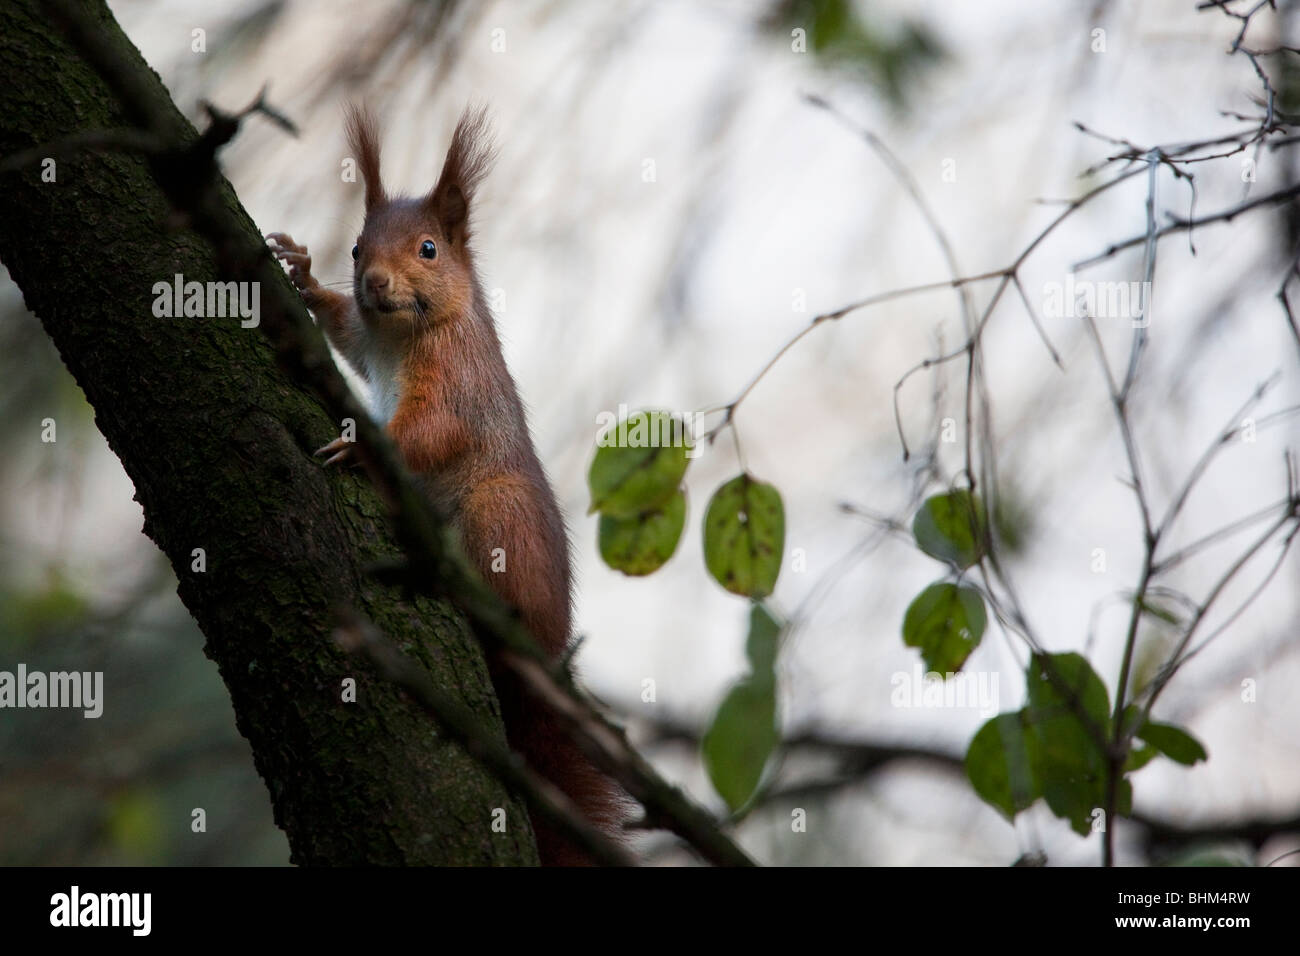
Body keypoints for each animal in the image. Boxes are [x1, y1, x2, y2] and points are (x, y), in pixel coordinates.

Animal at [266, 106, 621, 868]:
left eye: (429, 249)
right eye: (356, 250)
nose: (376, 283)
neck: (404, 334)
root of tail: (549, 652)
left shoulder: (458, 383)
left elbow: (432, 433)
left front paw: (361, 444)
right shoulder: (369, 341)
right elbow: (344, 331)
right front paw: (303, 276)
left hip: (499, 517)